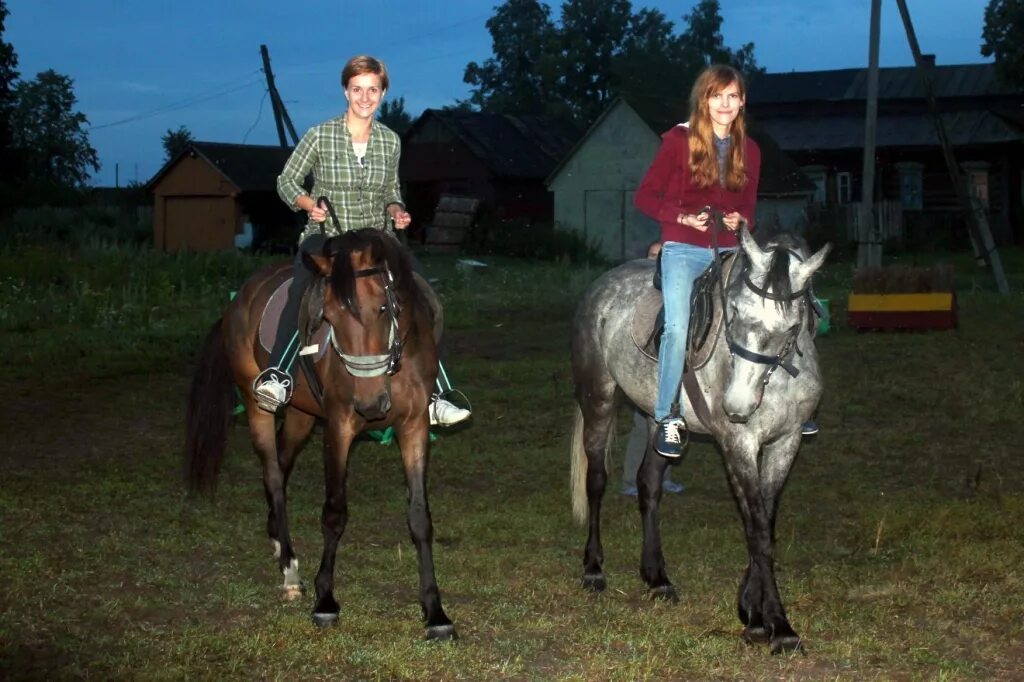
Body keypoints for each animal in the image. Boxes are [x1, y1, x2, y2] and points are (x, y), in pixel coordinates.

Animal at [185, 228, 456, 638]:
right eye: (328, 317)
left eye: (383, 308)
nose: (371, 405)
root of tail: (241, 297)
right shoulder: (339, 427)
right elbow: (334, 513)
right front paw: (325, 599)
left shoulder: (414, 427)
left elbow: (420, 518)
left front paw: (435, 612)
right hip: (257, 405)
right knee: (274, 474)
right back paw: (289, 568)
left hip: (300, 416)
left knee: (282, 462)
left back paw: (276, 537)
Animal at [569, 225, 831, 651]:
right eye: (735, 311)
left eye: (793, 327)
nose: (737, 405)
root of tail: (602, 285)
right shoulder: (738, 445)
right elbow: (758, 529)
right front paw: (777, 625)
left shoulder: (786, 442)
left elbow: (766, 521)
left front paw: (752, 612)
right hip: (599, 400)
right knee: (596, 481)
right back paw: (593, 569)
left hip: (657, 420)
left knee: (649, 484)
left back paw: (657, 577)